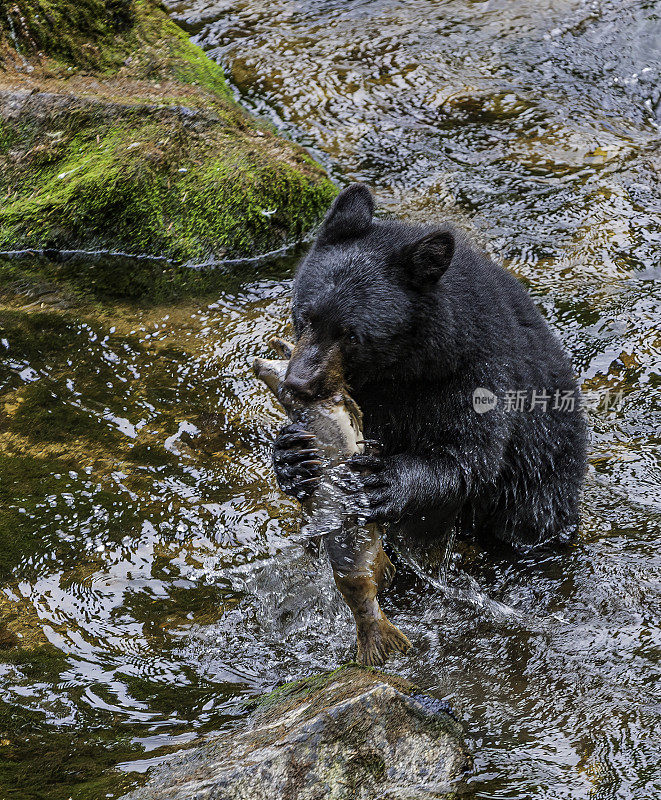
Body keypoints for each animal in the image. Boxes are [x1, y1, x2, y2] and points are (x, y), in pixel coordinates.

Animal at [274, 186, 588, 552]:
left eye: (352, 335)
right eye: (305, 316)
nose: (299, 383)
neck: (403, 370)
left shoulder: (480, 371)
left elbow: (468, 457)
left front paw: (384, 480)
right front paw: (291, 457)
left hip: (542, 475)